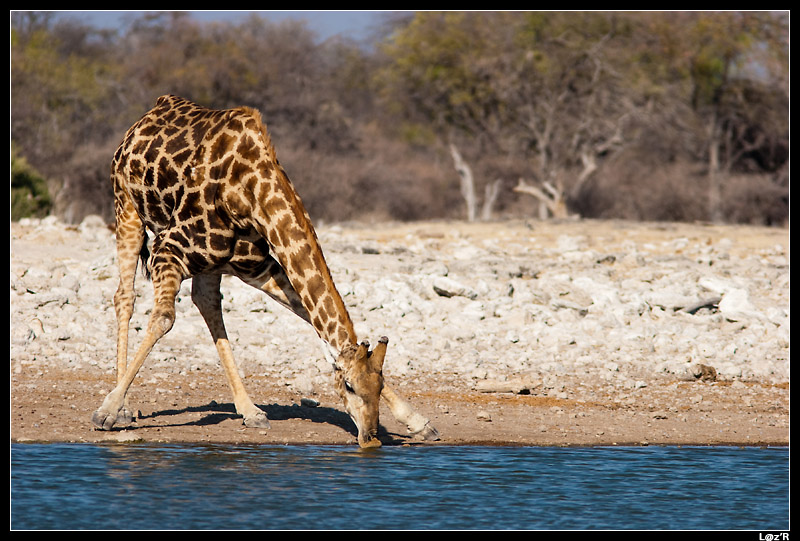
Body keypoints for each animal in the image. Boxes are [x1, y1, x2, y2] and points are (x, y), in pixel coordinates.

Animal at [91, 95, 439, 448]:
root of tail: (148, 114)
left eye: (379, 386)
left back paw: (250, 410)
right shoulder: (168, 250)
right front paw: (107, 411)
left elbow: (308, 316)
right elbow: (163, 319)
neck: (249, 194)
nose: (371, 439)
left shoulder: (258, 267)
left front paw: (418, 421)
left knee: (207, 303)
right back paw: (124, 408)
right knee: (125, 296)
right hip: (126, 207)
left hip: (210, 263)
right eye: (349, 386)